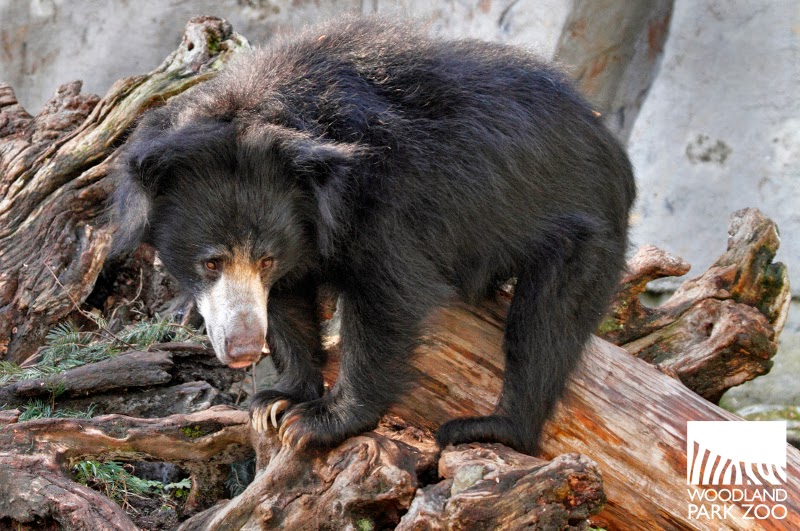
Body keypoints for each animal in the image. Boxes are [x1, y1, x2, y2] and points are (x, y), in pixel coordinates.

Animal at [112, 16, 635, 455]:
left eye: (264, 259)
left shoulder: (388, 207)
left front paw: (318, 422)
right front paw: (278, 401)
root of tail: (609, 144)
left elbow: (388, 301)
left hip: (583, 233)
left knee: (545, 326)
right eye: (211, 262)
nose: (240, 351)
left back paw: (494, 428)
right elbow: (287, 307)